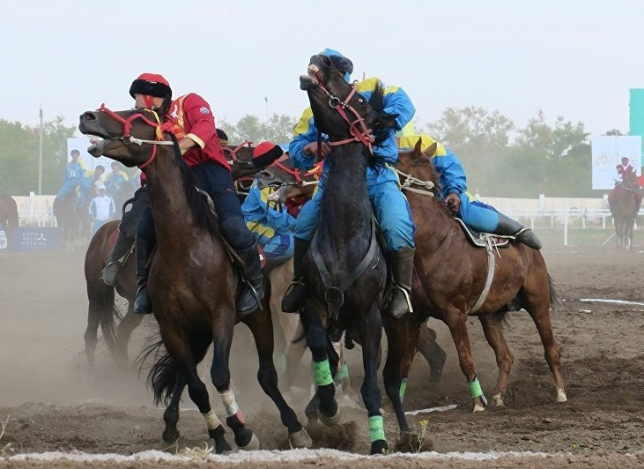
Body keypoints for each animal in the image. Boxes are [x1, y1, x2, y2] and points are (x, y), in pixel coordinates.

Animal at [84, 144, 262, 366]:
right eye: (229, 152)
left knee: (122, 331)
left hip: (131, 302)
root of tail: (100, 233)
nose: (258, 158)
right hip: (97, 292)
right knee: (91, 334)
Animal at [394, 140, 568, 410]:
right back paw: (497, 396)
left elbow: (466, 359)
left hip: (538, 303)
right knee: (505, 357)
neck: (436, 244)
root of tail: (532, 252)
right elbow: (405, 363)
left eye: (400, 157)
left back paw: (560, 394)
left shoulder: (455, 315)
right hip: (491, 317)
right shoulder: (415, 316)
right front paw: (399, 402)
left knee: (551, 350)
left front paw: (477, 402)